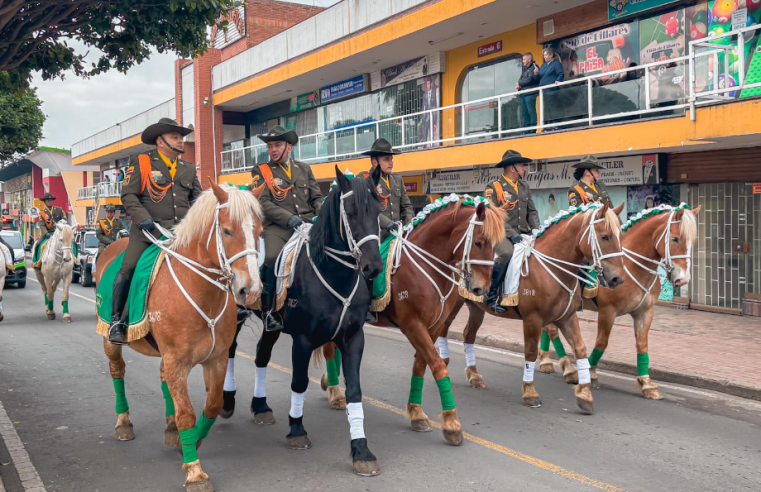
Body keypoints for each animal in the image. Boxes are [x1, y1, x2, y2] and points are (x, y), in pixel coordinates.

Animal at [96, 183, 262, 490]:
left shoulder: (217, 359)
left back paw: (170, 426)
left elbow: (212, 405)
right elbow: (187, 413)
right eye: (227, 230)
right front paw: (194, 471)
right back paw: (123, 422)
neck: (199, 288)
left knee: (163, 378)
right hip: (109, 340)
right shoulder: (177, 360)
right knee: (117, 371)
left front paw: (191, 441)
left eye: (259, 230)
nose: (251, 291)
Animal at [226, 165, 382, 476]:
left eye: (378, 210)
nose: (374, 267)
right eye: (351, 212)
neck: (332, 272)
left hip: (272, 325)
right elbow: (298, 382)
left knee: (261, 355)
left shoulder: (353, 338)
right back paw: (227, 400)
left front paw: (361, 449)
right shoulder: (303, 339)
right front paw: (297, 430)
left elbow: (355, 390)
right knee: (230, 351)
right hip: (234, 315)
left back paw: (260, 407)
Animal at [320, 195, 504, 446]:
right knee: (329, 349)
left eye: (495, 245)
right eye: (478, 243)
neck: (427, 264)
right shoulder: (412, 325)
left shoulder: (433, 326)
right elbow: (438, 365)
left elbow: (421, 365)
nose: (481, 289)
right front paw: (451, 423)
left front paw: (416, 413)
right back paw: (335, 392)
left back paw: (328, 382)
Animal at [434, 202, 624, 414]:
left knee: (468, 335)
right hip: (453, 305)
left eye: (619, 236)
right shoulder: (532, 318)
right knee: (443, 330)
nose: (617, 279)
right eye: (605, 236)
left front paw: (584, 395)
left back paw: (474, 376)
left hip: (476, 307)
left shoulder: (567, 317)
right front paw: (530, 392)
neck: (551, 267)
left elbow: (580, 349)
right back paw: (444, 366)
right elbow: (531, 353)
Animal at [536, 204, 700, 400]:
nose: (683, 279)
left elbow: (642, 344)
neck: (632, 267)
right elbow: (601, 343)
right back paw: (565, 367)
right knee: (551, 329)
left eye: (692, 241)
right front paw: (590, 371)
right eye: (675, 239)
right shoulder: (608, 311)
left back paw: (549, 361)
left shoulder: (645, 312)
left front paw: (646, 383)